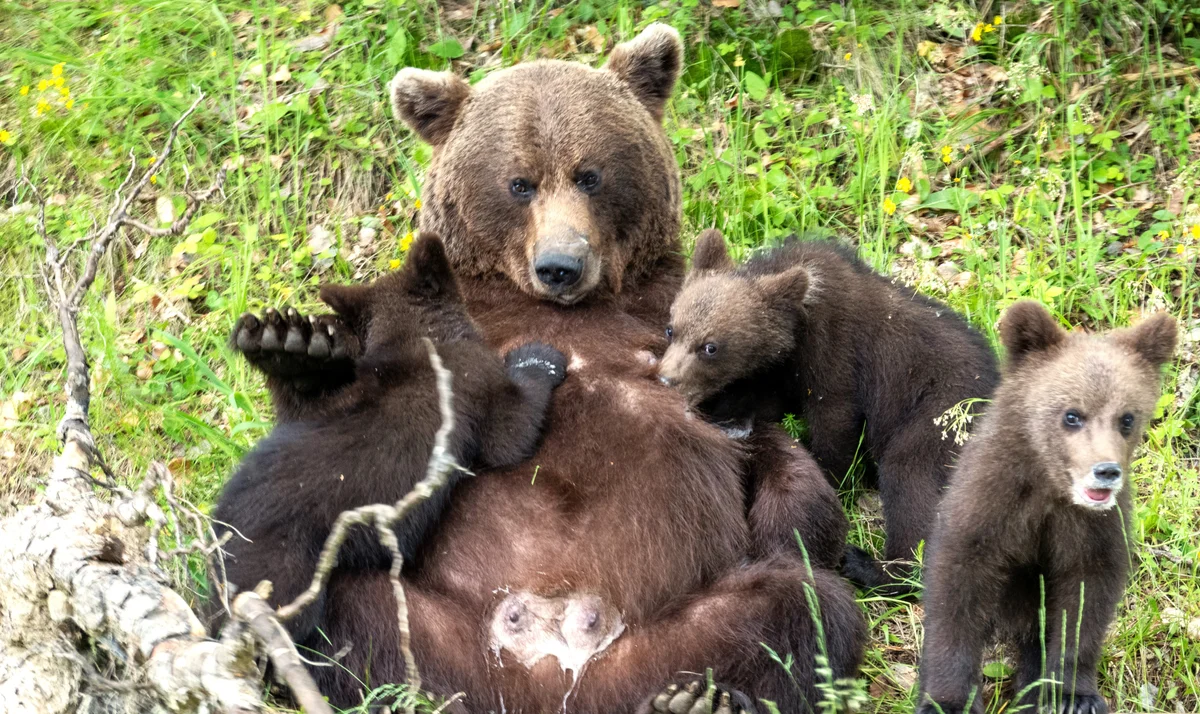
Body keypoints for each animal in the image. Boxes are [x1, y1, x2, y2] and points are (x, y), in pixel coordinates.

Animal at [229, 25, 864, 710]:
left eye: (590, 174)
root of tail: (547, 672)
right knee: (332, 601)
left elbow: (776, 461)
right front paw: (293, 348)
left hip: (666, 639)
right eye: (520, 182)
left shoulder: (686, 327)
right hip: (421, 626)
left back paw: (705, 696)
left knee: (802, 608)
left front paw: (795, 521)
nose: (560, 265)